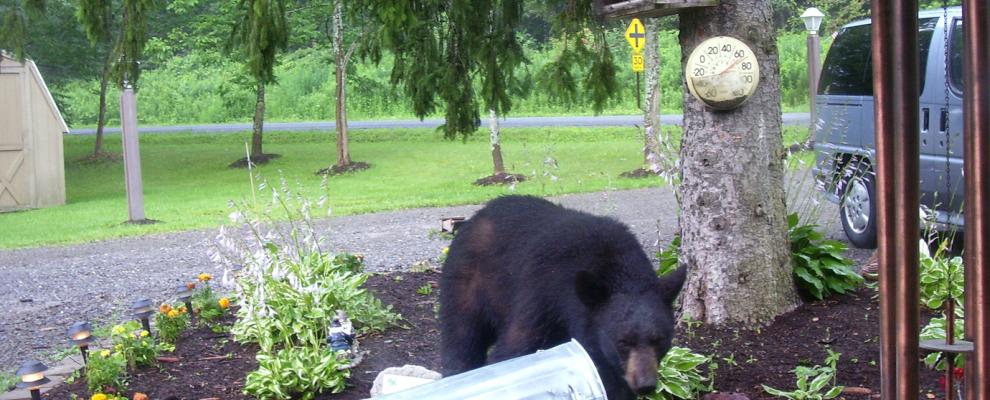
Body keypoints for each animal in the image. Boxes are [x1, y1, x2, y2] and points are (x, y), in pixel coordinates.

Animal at [444, 195, 688, 398]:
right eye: (623, 342)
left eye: (659, 340)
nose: (645, 384)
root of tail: (477, 215)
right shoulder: (540, 295)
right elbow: (513, 349)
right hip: (468, 283)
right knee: (462, 337)